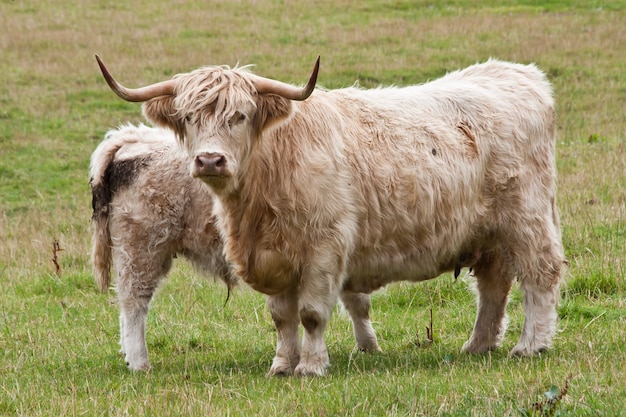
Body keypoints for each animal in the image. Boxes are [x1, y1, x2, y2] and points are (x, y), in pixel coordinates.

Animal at [96, 54, 564, 374]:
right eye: (190, 117)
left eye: (240, 116)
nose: (210, 160)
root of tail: (517, 74)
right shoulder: (275, 257)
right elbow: (282, 317)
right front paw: (282, 364)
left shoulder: (324, 249)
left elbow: (312, 313)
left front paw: (311, 366)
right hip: (490, 235)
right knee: (494, 287)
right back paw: (478, 345)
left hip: (527, 219)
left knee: (540, 275)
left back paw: (532, 345)